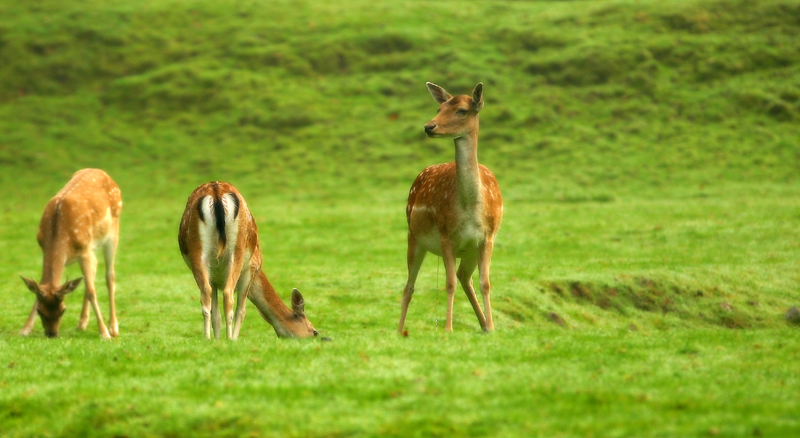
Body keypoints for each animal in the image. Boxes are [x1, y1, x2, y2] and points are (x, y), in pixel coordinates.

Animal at [178, 181, 318, 338]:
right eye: (314, 332)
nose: (320, 336)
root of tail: (216, 192)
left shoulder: (213, 278)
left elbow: (216, 316)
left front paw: (217, 340)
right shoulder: (252, 268)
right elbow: (242, 311)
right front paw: (231, 339)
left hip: (198, 252)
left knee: (205, 294)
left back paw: (207, 339)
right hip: (237, 251)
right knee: (228, 294)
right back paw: (229, 339)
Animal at [398, 82, 504, 334]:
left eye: (462, 111)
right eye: (439, 108)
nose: (429, 126)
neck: (469, 207)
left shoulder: (487, 238)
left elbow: (485, 283)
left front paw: (492, 326)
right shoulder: (446, 236)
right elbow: (448, 283)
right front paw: (448, 328)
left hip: (469, 250)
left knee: (464, 276)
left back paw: (483, 325)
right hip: (413, 235)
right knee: (409, 286)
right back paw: (398, 331)